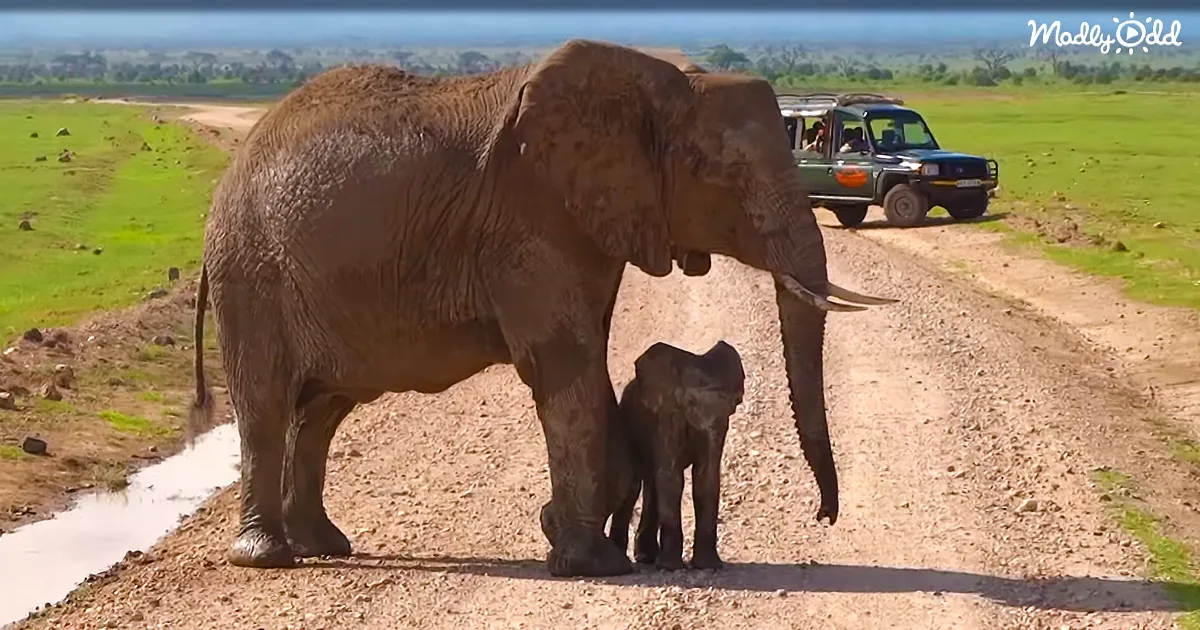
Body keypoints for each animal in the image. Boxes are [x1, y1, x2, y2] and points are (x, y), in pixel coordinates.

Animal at [608, 340, 745, 571]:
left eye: (731, 403)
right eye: (689, 402)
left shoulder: (720, 426)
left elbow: (706, 477)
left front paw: (708, 566)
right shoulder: (668, 417)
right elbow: (672, 478)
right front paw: (671, 567)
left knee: (652, 485)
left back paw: (646, 557)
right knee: (634, 485)